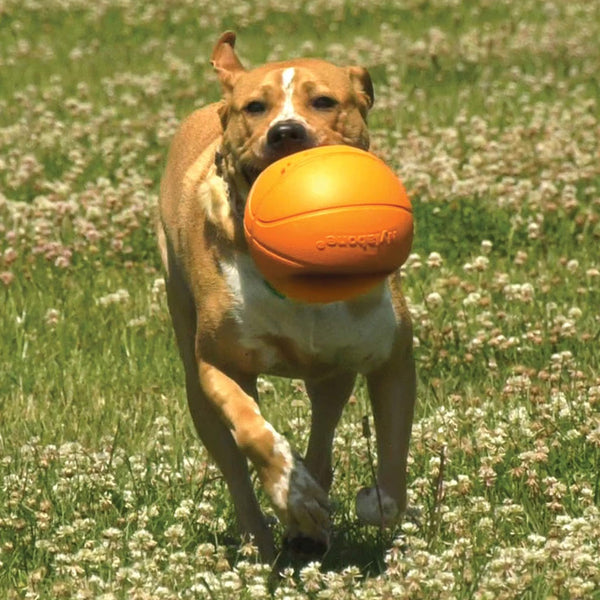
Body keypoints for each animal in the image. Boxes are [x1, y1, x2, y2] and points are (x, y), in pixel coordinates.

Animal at [157, 30, 414, 560]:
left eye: (325, 102)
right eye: (255, 107)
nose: (286, 133)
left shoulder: (392, 357)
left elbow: (394, 460)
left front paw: (374, 501)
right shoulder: (219, 362)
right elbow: (253, 430)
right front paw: (292, 493)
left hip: (332, 372)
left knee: (324, 427)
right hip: (195, 381)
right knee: (234, 465)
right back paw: (272, 535)